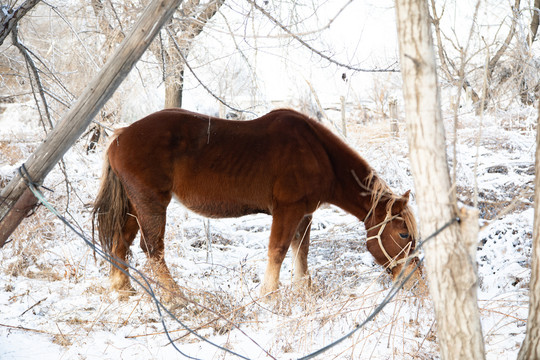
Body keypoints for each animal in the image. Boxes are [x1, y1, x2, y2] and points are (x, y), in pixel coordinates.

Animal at [93, 107, 422, 304]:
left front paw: (302, 289)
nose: (416, 281)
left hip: (133, 204)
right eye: (403, 234)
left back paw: (122, 289)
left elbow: (300, 251)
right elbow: (278, 249)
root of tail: (119, 136)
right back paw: (177, 297)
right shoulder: (287, 209)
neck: (317, 153)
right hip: (151, 203)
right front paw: (268, 294)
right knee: (152, 250)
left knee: (120, 243)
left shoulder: (304, 213)